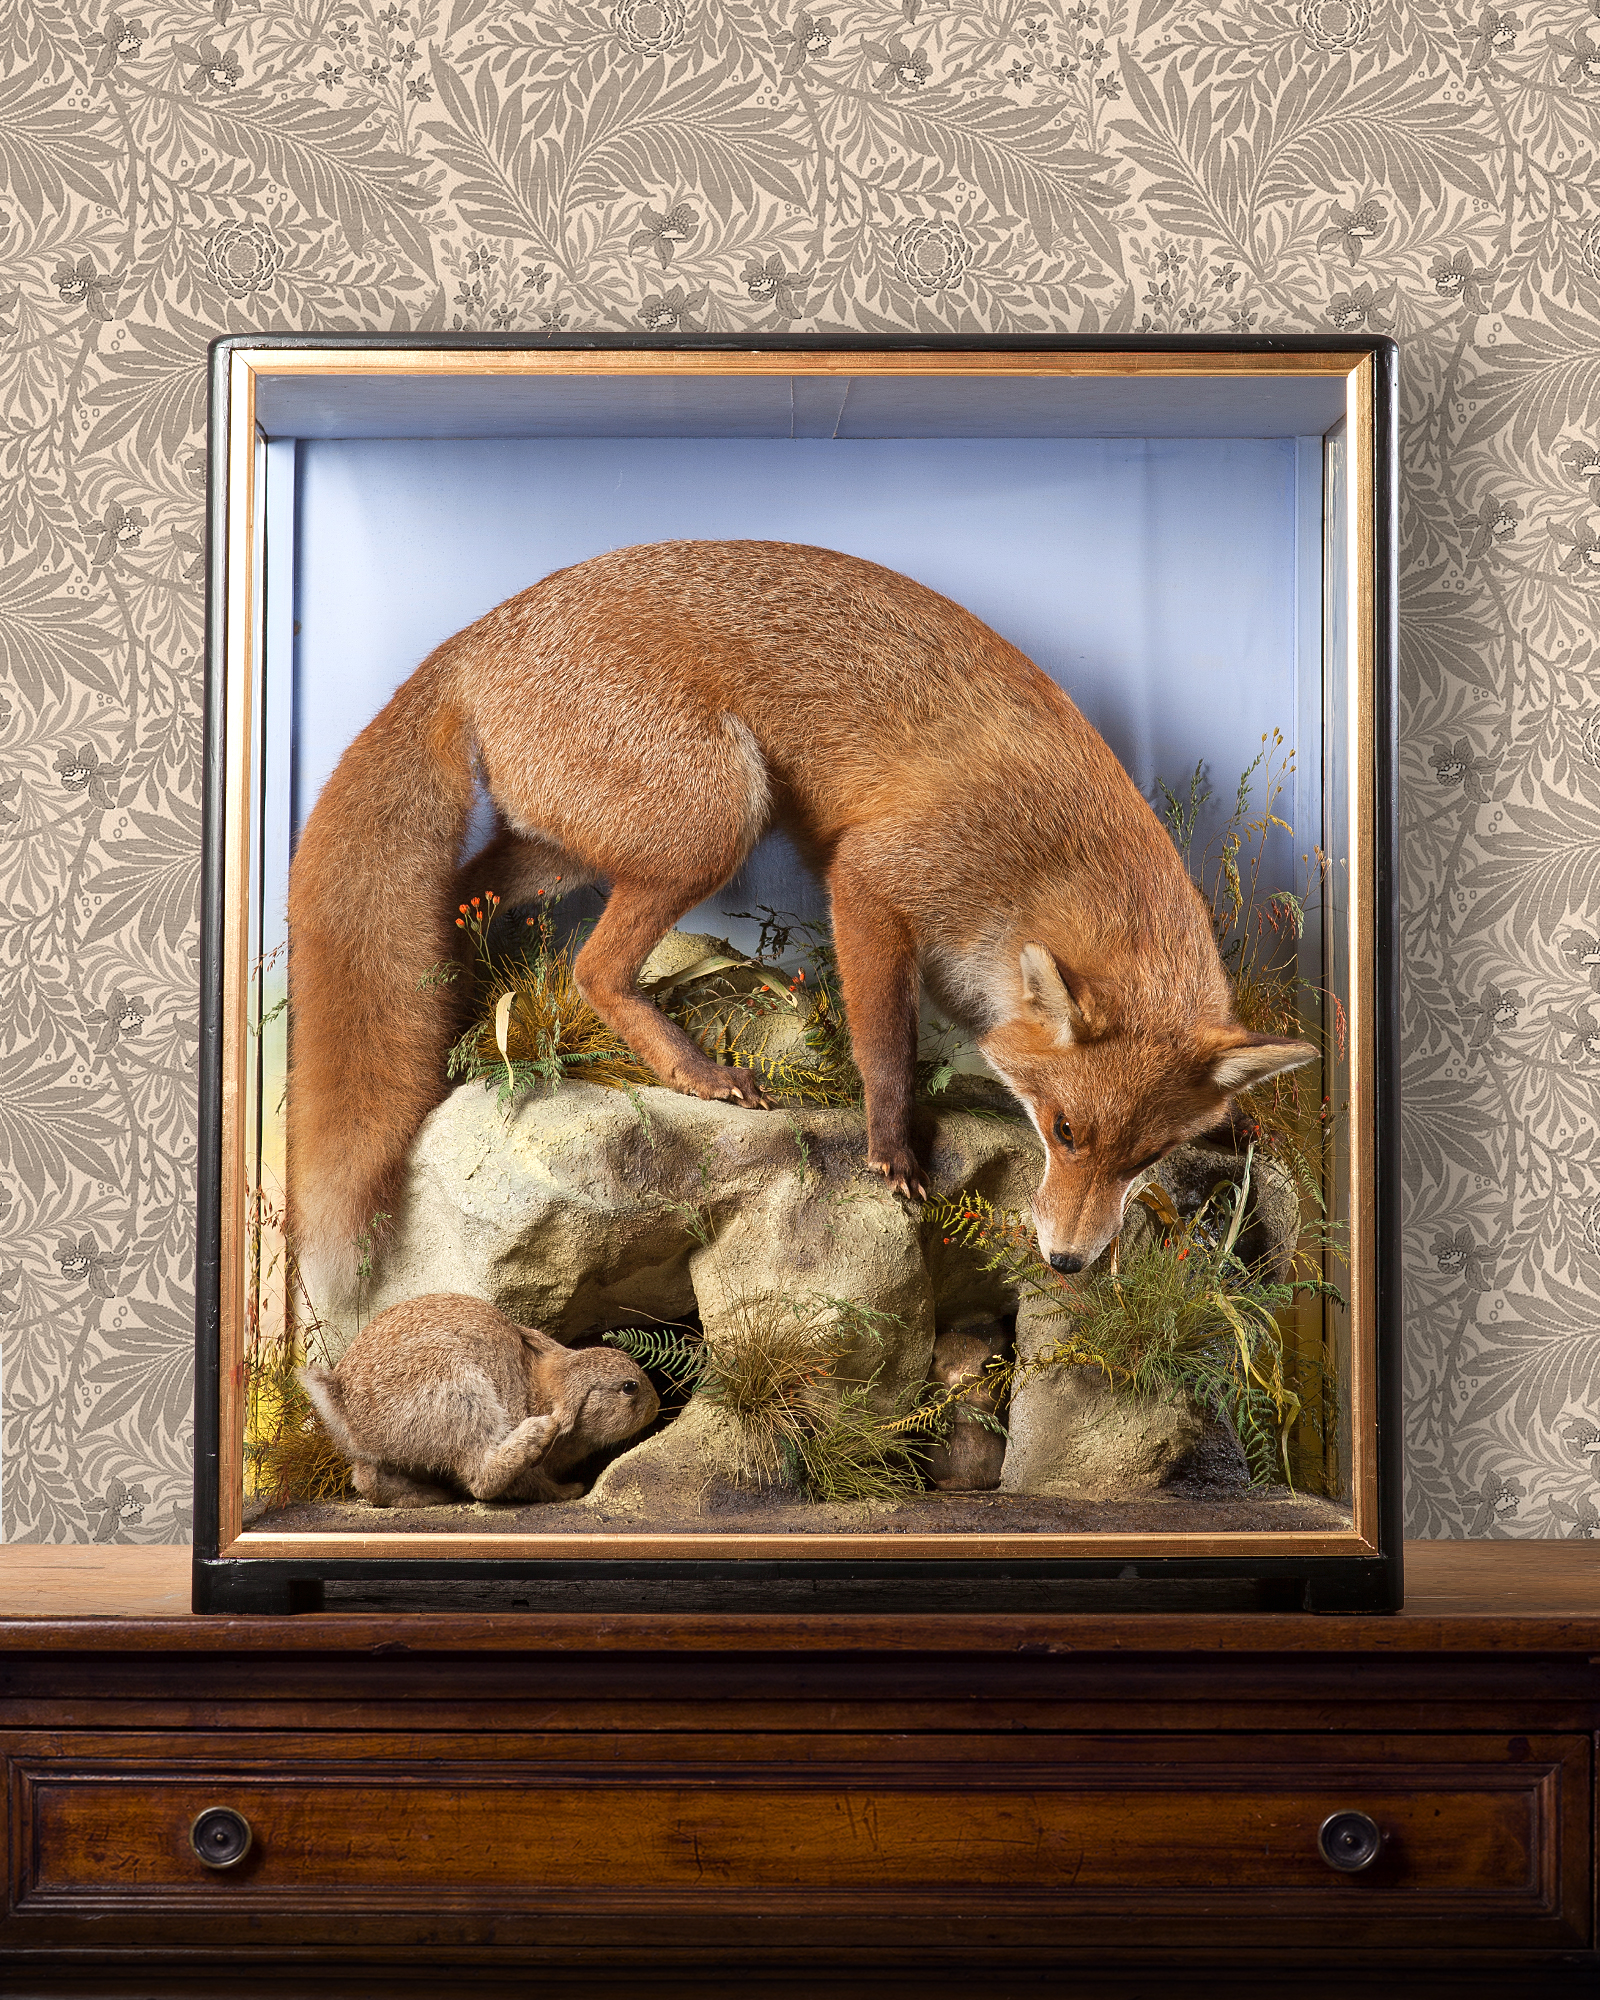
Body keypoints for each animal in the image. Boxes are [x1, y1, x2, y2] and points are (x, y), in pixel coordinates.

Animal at [286, 539, 1314, 1304]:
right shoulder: (870, 880)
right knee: (591, 969)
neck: (1050, 858)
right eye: (1062, 1133)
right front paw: (891, 1147)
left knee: (464, 893)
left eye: (1149, 1157)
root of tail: (477, 633)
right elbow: (886, 1042)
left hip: (568, 847)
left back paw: (468, 997)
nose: (1067, 1261)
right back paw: (695, 1072)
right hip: (714, 816)